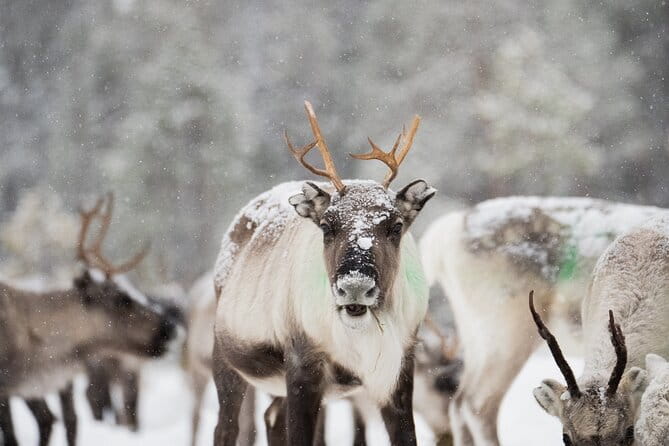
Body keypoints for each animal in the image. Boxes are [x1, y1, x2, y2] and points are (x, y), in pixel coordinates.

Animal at [211, 101, 435, 446]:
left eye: (396, 225)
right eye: (327, 226)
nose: (355, 286)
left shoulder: (400, 365)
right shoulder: (303, 362)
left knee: (271, 417)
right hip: (226, 359)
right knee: (226, 427)